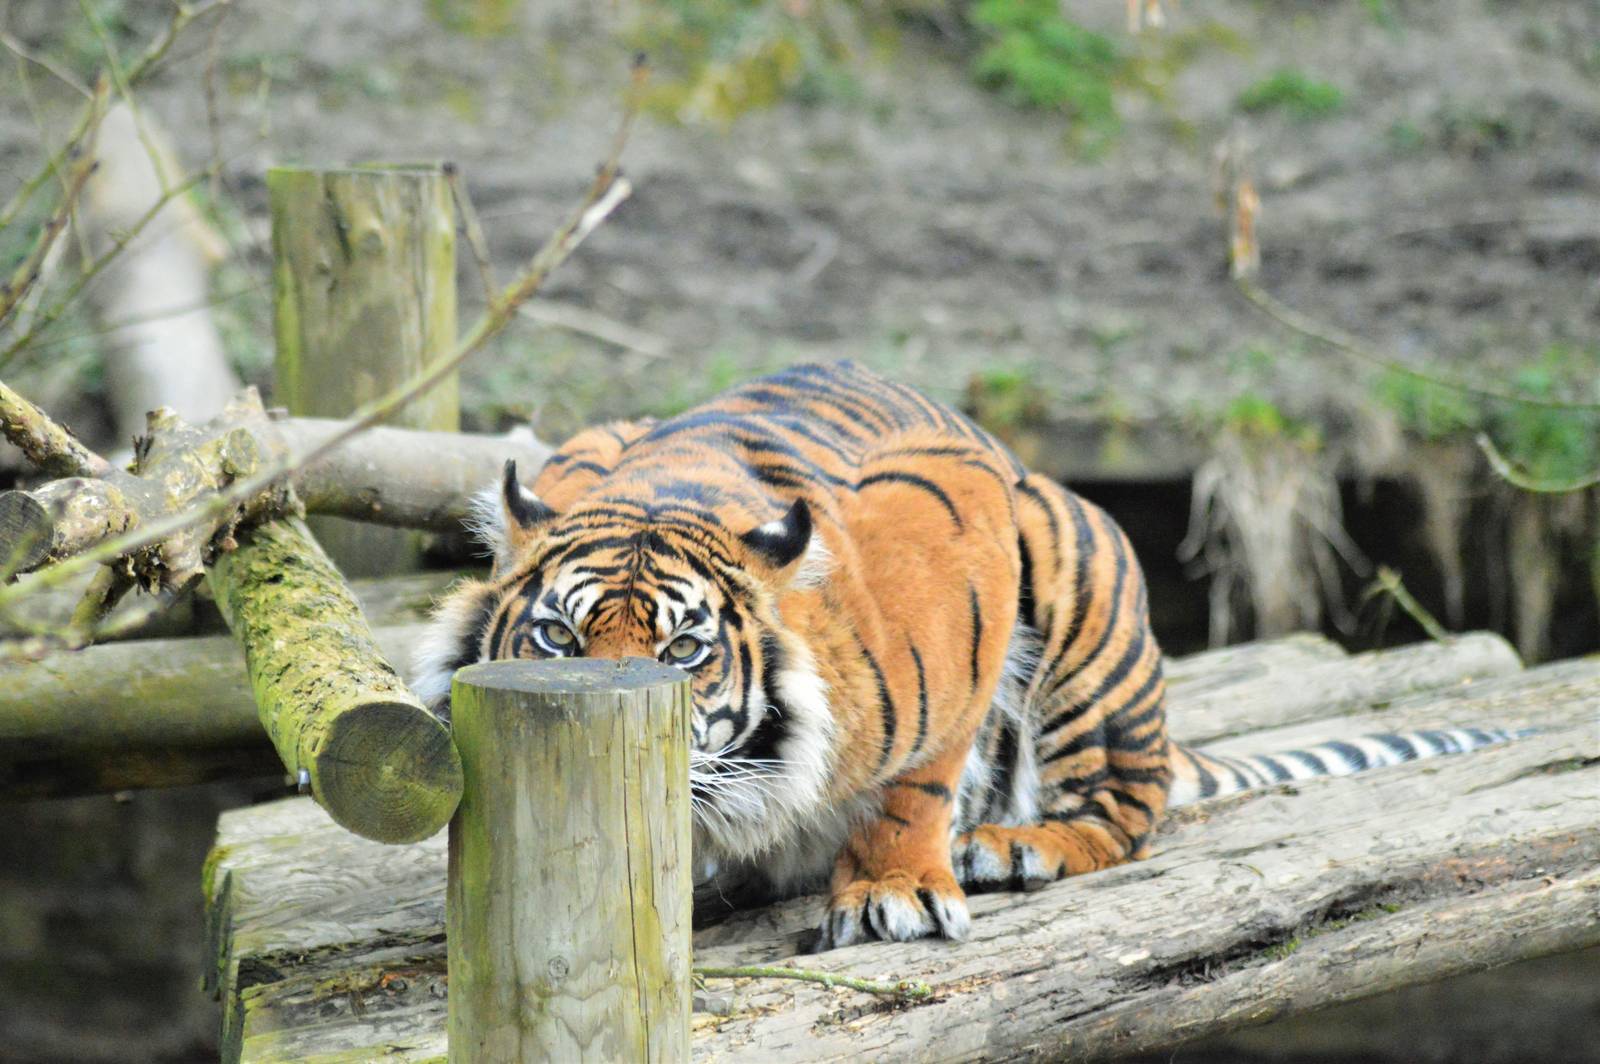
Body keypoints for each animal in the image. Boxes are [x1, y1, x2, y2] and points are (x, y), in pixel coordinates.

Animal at [413, 361, 1518, 948]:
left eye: (685, 648)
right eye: (557, 636)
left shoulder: (961, 527)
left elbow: (918, 776)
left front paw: (891, 892)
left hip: (1075, 567)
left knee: (1127, 804)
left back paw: (1017, 843)